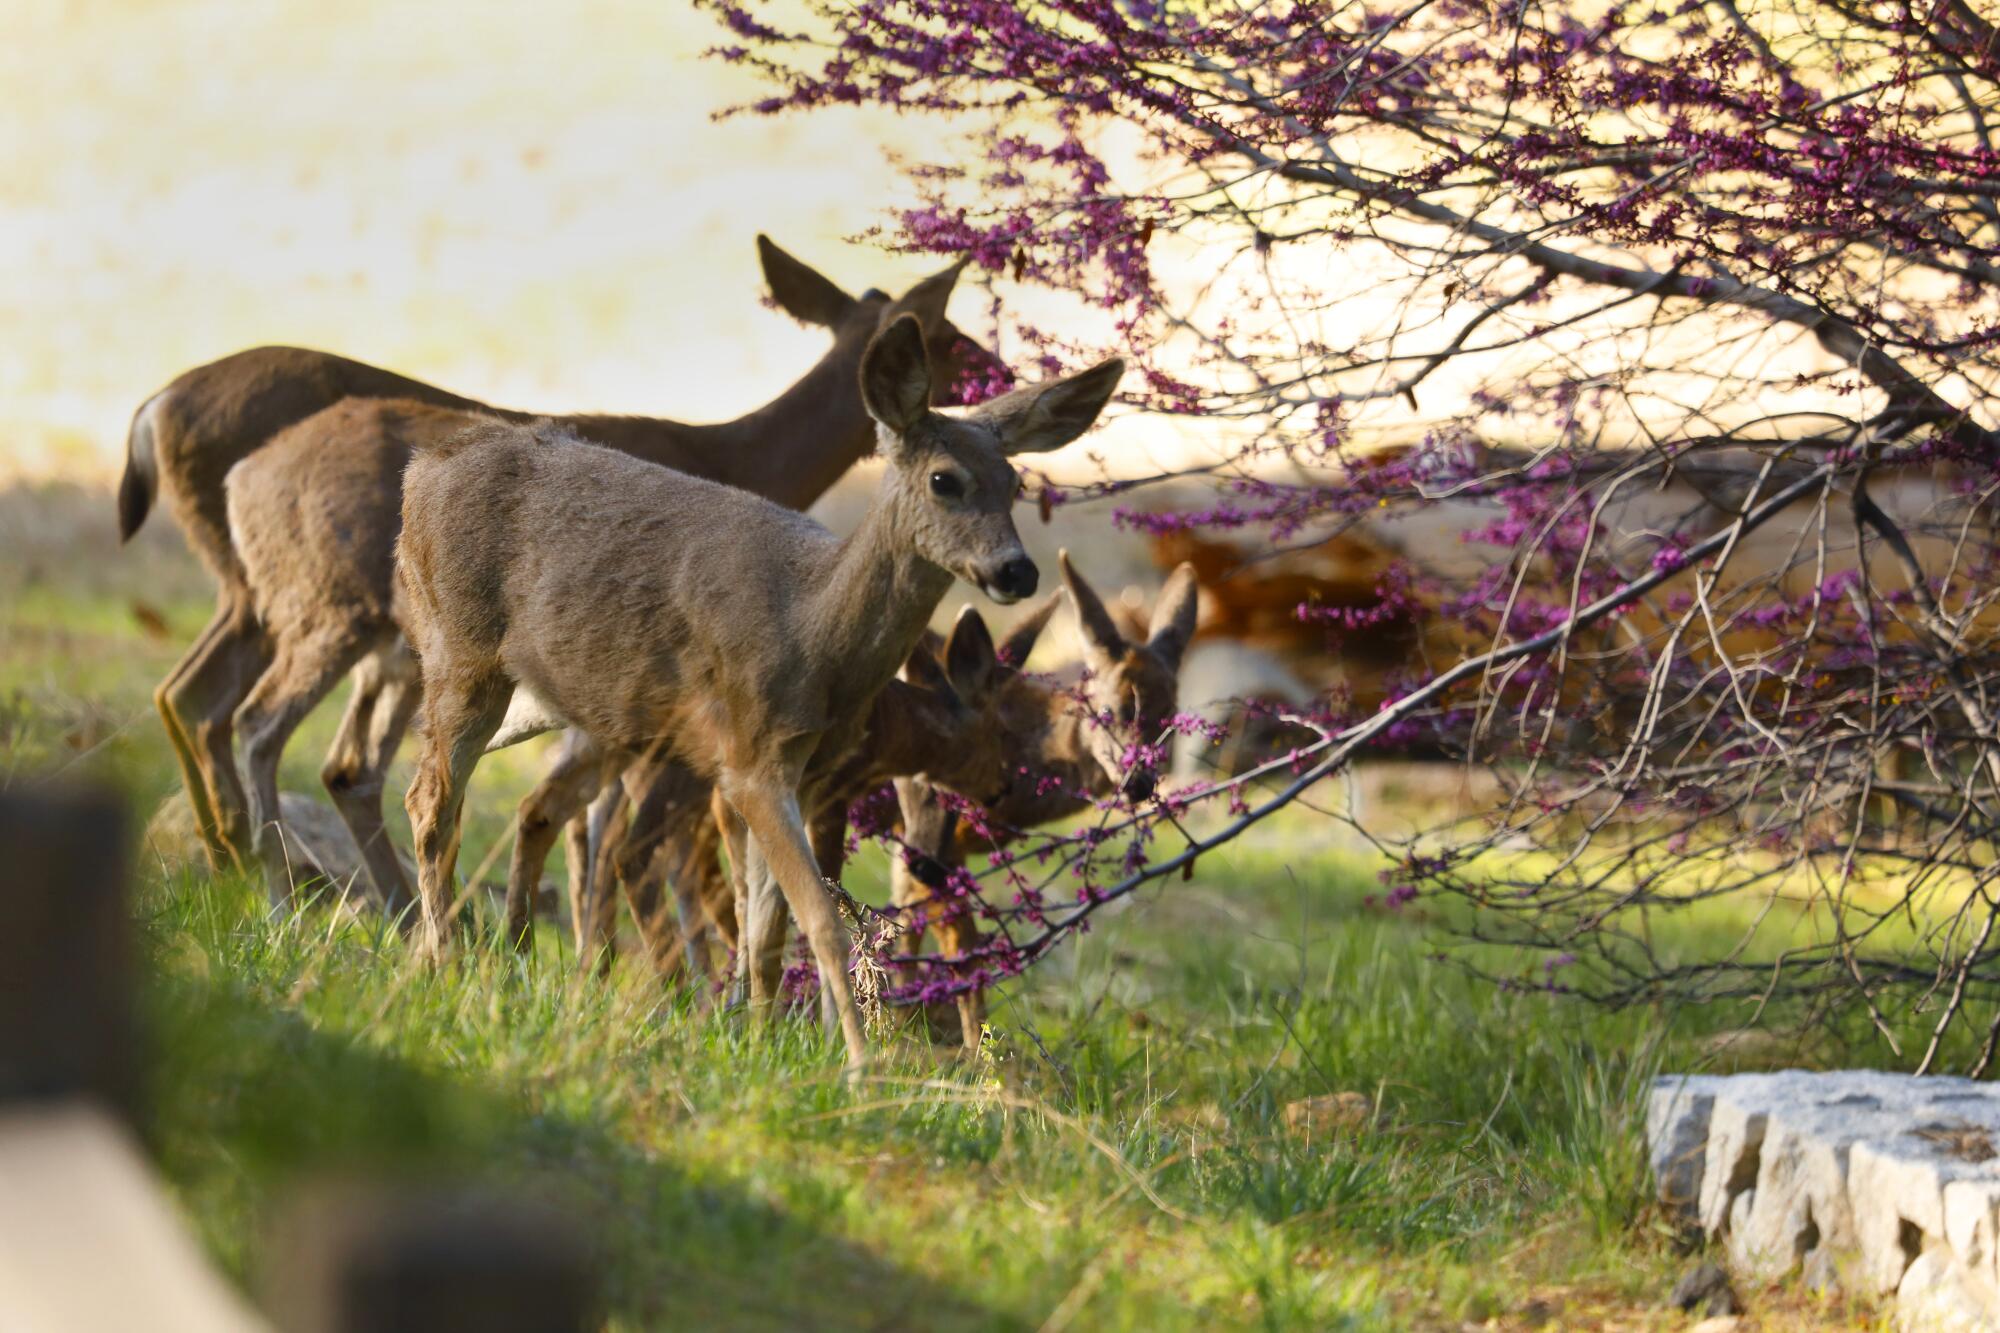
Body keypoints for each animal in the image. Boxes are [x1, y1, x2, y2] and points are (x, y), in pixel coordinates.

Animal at [117, 233, 992, 876]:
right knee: (252, 720)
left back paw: (248, 866)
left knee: (199, 699)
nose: (1000, 365)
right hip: (317, 598)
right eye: (948, 334)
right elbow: (609, 824)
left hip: (261, 595)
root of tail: (151, 409)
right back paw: (277, 884)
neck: (735, 458)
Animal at [394, 314, 1128, 1072]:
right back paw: (446, 965)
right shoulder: (749, 757)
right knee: (430, 799)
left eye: (1013, 481)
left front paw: (758, 1042)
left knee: (506, 801)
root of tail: (422, 469)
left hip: (559, 701)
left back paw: (470, 959)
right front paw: (858, 1067)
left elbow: (765, 929)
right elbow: (818, 919)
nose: (1016, 572)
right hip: (461, 650)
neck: (812, 632)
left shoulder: (802, 769)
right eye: (944, 480)